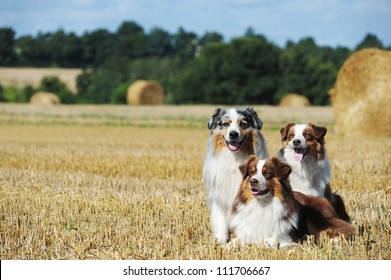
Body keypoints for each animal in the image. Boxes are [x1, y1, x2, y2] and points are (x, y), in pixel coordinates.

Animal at [202, 107, 270, 243]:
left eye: (243, 123)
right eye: (225, 124)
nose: (233, 134)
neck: (234, 158)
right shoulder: (220, 196)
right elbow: (221, 221)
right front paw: (221, 240)